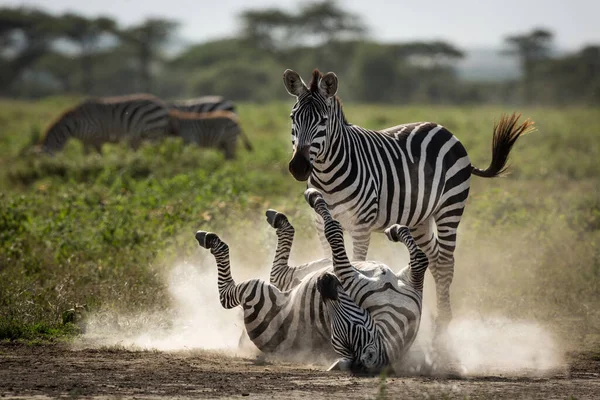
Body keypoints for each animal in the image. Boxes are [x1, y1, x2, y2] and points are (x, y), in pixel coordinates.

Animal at [39, 94, 171, 155]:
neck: (75, 125)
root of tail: (160, 102)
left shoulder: (97, 138)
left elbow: (99, 154)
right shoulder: (85, 142)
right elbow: (85, 156)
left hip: (153, 131)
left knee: (157, 150)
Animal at [195, 198, 424, 366]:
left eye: (353, 328)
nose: (323, 282)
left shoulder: (350, 275)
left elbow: (333, 230)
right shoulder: (408, 281)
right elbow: (420, 258)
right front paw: (396, 230)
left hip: (258, 293)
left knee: (230, 294)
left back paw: (212, 241)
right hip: (305, 273)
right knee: (278, 272)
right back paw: (278, 219)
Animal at [282, 69, 536, 344]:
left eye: (323, 120)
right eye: (293, 117)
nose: (298, 167)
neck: (327, 173)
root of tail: (443, 129)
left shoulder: (361, 225)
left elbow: (356, 263)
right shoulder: (320, 223)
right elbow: (329, 258)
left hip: (450, 207)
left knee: (446, 262)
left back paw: (443, 327)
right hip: (419, 219)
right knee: (434, 258)